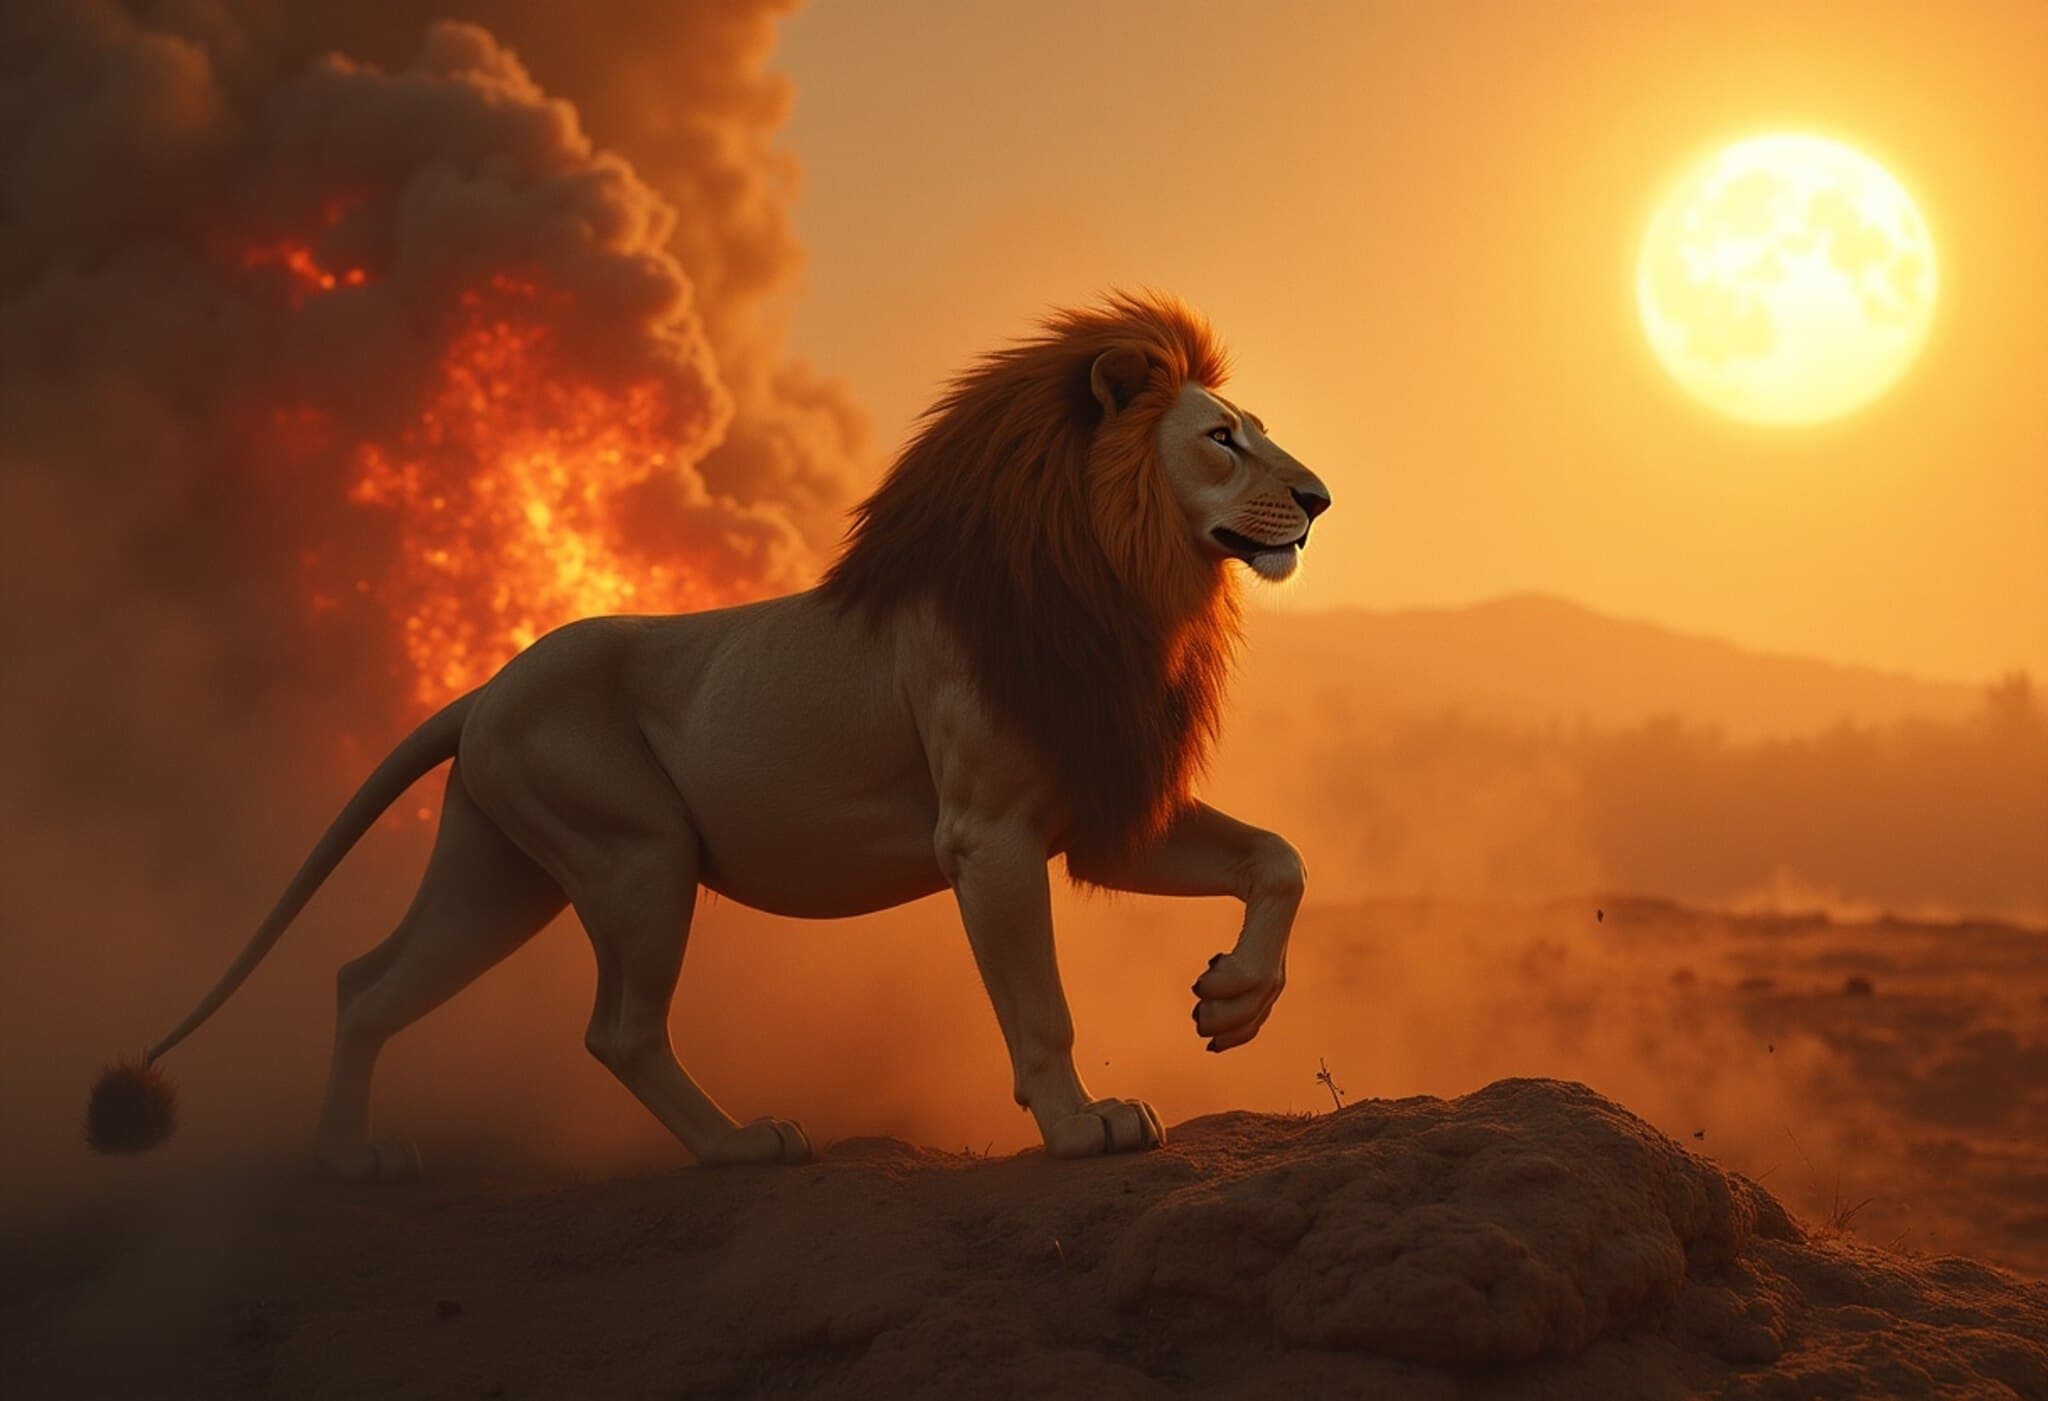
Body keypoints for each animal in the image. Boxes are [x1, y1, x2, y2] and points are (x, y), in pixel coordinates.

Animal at [88, 292, 1332, 1176]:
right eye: (1222, 439)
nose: (1319, 499)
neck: (1124, 587)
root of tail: (483, 688)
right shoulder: (988, 834)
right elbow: (1041, 1010)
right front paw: (1080, 1128)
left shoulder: (1100, 810)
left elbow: (1280, 858)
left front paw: (1230, 1003)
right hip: (636, 855)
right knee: (617, 1031)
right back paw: (740, 1145)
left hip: (499, 876)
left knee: (366, 983)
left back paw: (347, 1160)